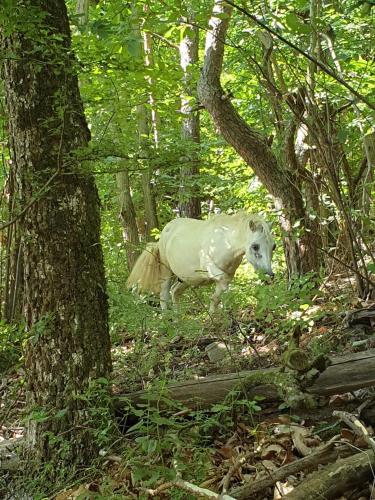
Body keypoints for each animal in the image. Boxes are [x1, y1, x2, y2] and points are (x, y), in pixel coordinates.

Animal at [126, 211, 276, 312]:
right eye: (255, 246)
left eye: (273, 246)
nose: (269, 274)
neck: (225, 241)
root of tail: (163, 235)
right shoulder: (210, 268)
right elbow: (224, 287)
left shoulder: (227, 274)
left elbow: (216, 296)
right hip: (166, 272)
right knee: (164, 295)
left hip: (186, 278)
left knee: (175, 292)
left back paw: (178, 318)